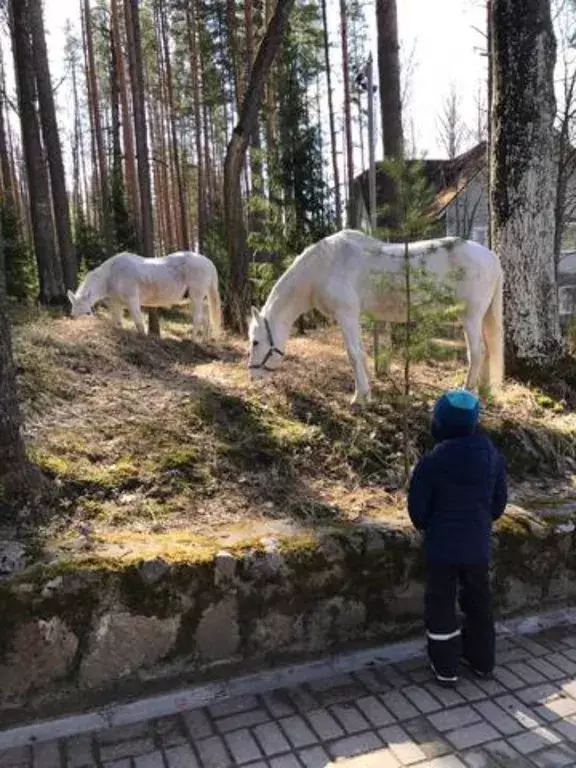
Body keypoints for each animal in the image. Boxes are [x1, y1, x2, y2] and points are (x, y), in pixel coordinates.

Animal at [67, 250, 220, 338]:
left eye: (87, 312)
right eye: (72, 315)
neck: (111, 276)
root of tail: (208, 261)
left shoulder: (132, 300)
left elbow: (138, 323)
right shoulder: (116, 304)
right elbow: (116, 322)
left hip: (196, 296)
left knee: (198, 318)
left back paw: (192, 340)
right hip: (197, 298)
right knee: (205, 316)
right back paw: (205, 341)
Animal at [249, 228, 504, 404]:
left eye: (255, 342)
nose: (252, 376)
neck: (324, 266)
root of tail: (491, 256)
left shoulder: (346, 315)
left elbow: (353, 355)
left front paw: (358, 398)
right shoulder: (354, 319)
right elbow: (361, 353)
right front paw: (368, 392)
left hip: (470, 316)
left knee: (477, 352)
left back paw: (467, 391)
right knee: (487, 351)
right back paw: (482, 391)